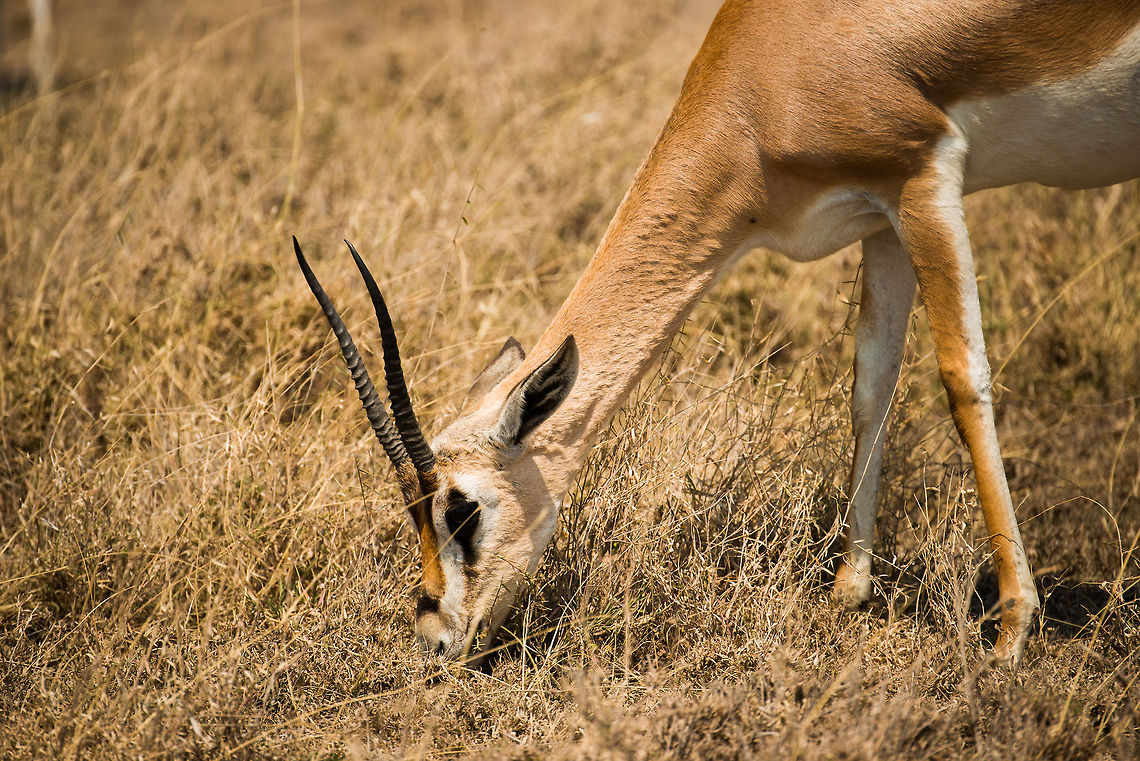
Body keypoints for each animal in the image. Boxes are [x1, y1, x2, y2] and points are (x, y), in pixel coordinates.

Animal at [295, 0, 1140, 663]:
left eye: (462, 507)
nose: (436, 637)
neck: (774, 64)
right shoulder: (881, 218)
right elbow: (870, 387)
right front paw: (847, 595)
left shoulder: (926, 179)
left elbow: (963, 378)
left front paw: (1013, 630)